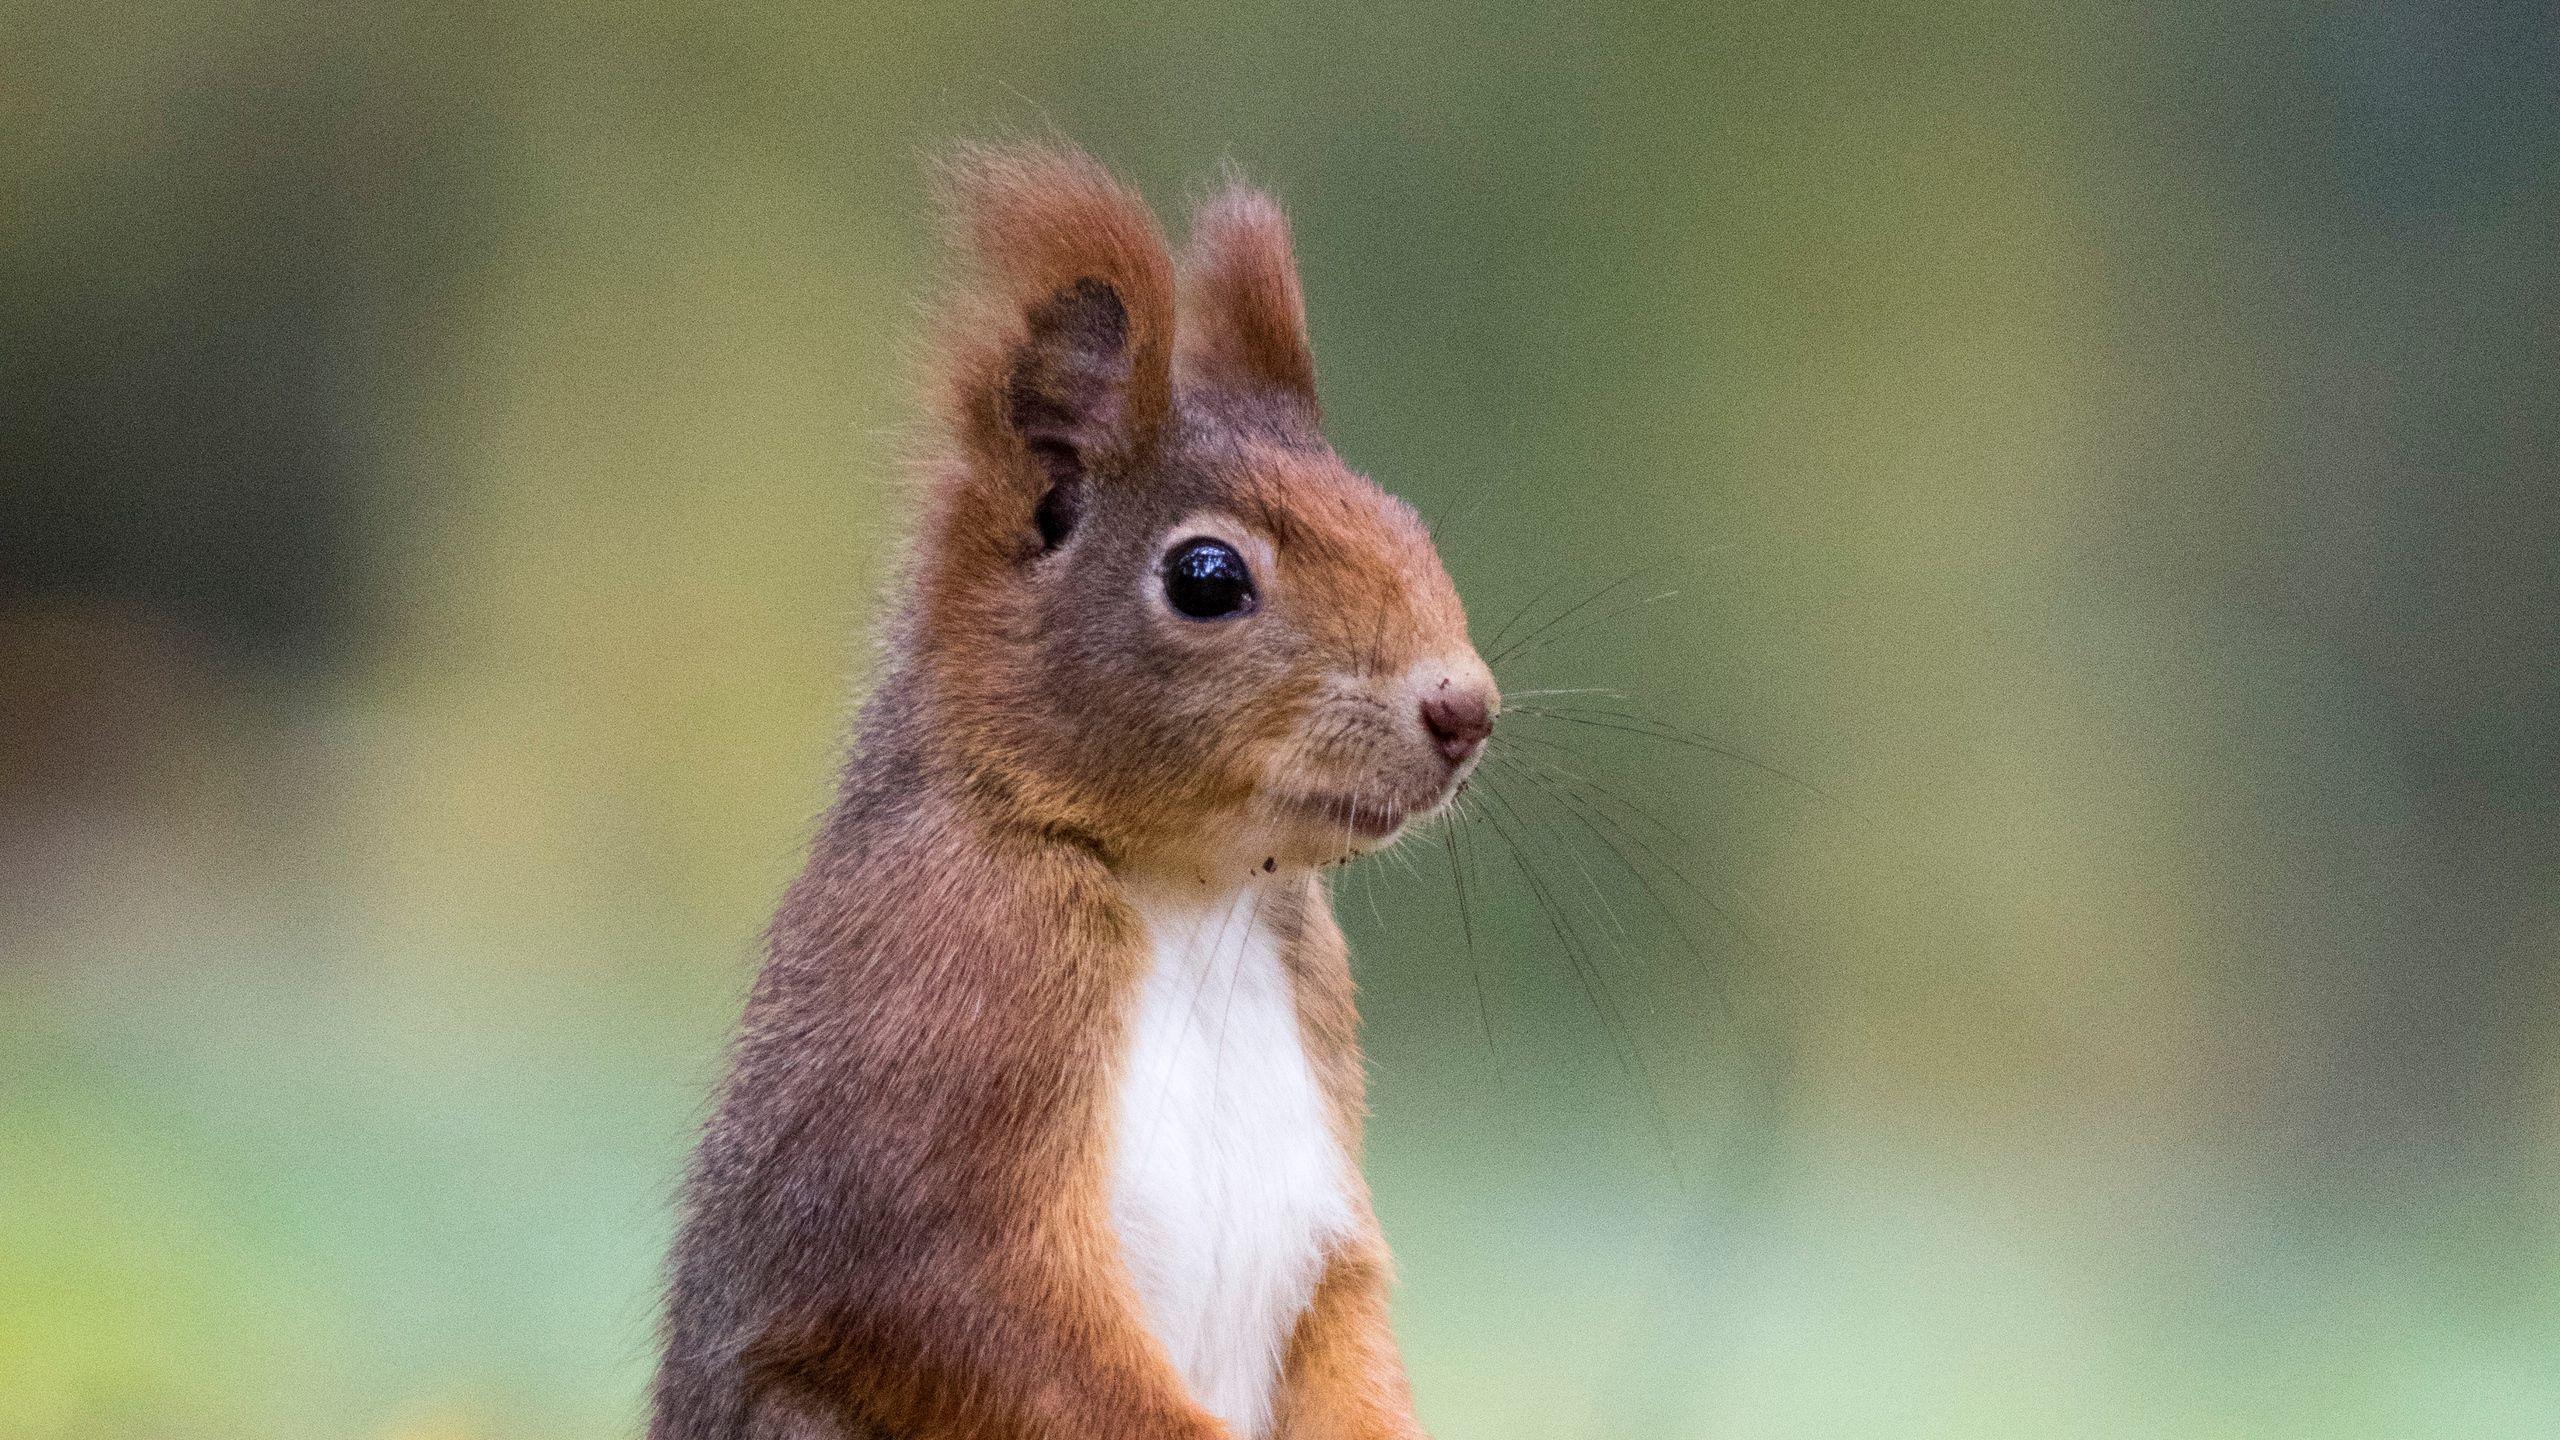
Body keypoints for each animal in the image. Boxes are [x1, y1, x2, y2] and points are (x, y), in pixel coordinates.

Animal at [649, 144, 1499, 1440]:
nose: (1465, 707)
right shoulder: (946, 982)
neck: (1190, 894)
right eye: (1206, 577)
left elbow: (1350, 1323)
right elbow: (962, 1308)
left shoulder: (1329, 1139)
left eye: (1400, 517)